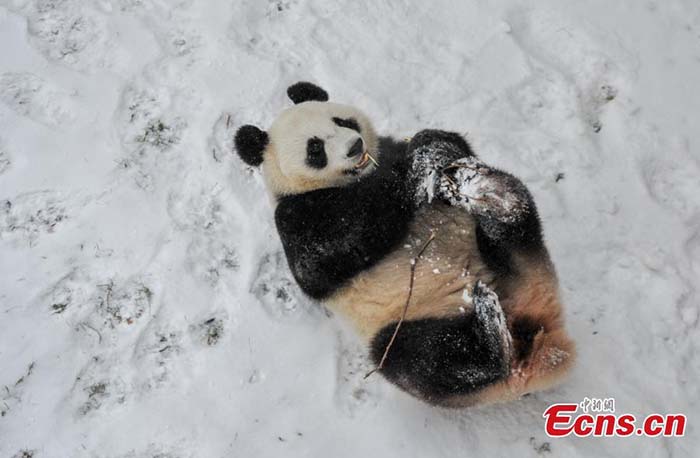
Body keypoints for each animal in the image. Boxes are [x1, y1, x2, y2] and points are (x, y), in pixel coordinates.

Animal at [235, 82, 576, 408]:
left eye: (342, 121)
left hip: (519, 261)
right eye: (315, 148)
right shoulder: (296, 215)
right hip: (408, 321)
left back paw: (494, 196)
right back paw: (489, 330)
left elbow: (448, 145)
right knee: (423, 359)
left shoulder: (390, 149)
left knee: (515, 222)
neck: (360, 178)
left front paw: (431, 148)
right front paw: (414, 174)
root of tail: (540, 351)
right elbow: (333, 251)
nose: (355, 146)